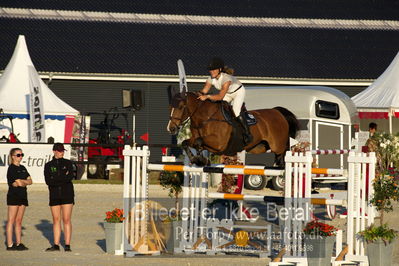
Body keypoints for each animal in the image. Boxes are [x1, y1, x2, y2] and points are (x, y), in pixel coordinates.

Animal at [166, 90, 300, 167]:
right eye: (170, 106)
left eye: (181, 107)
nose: (171, 128)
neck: (205, 118)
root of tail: (277, 112)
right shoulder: (198, 140)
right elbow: (186, 143)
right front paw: (197, 159)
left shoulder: (219, 143)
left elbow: (199, 141)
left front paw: (199, 159)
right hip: (260, 146)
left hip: (277, 146)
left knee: (282, 156)